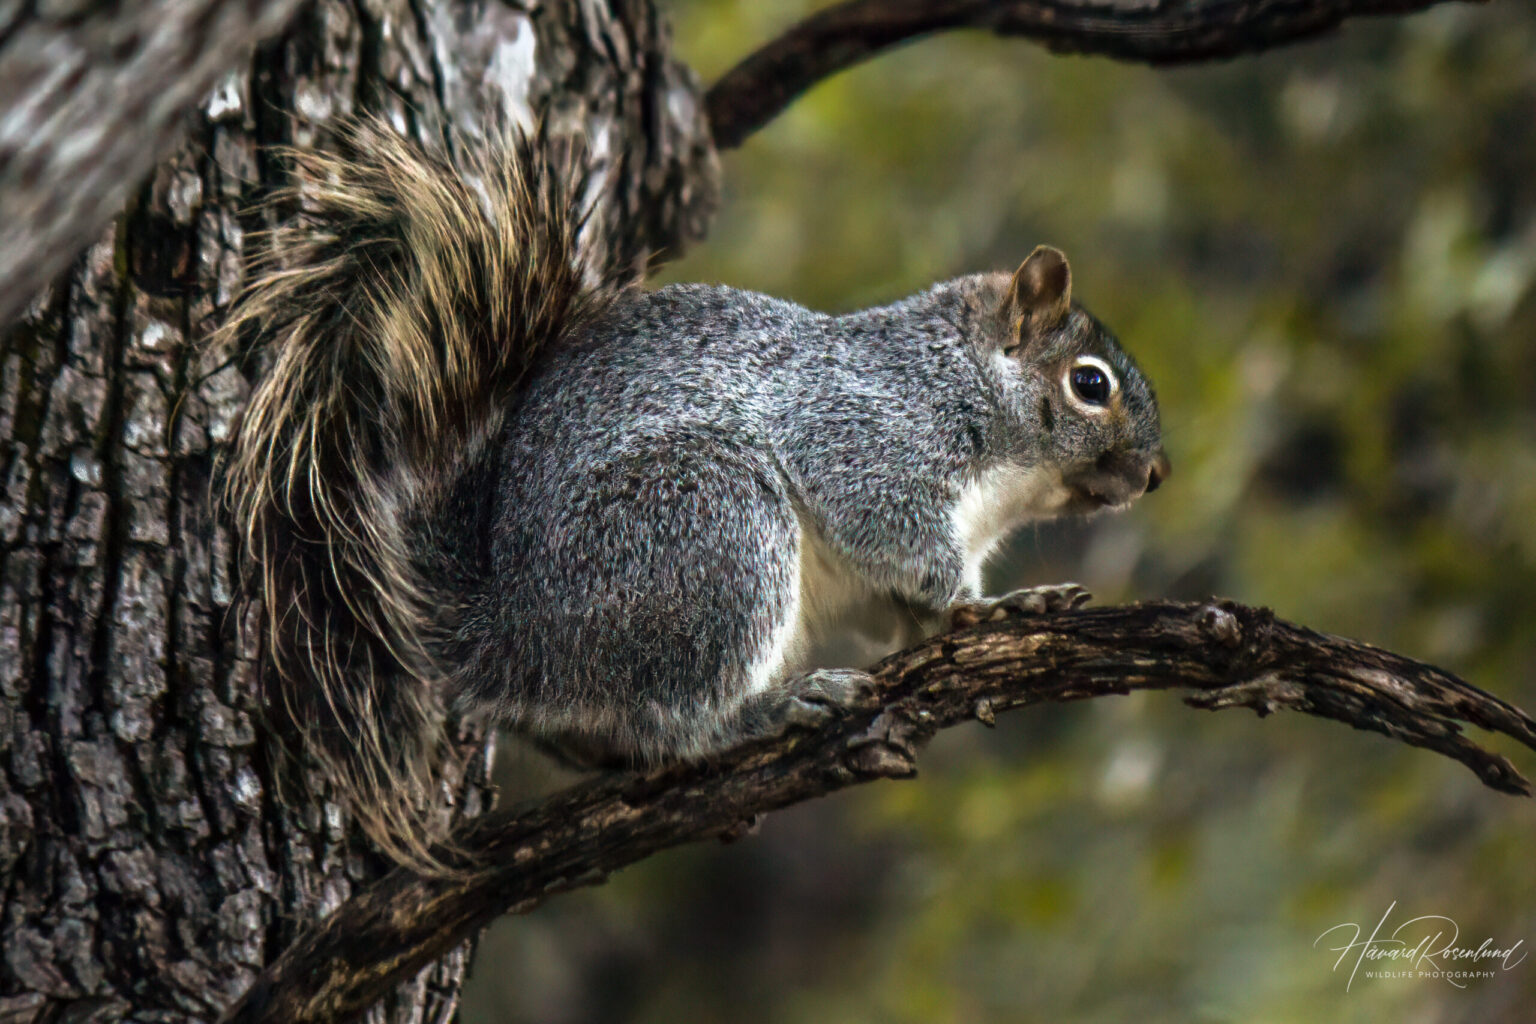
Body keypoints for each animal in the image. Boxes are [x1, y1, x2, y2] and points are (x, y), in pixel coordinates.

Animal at [221, 118, 1168, 865]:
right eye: (1090, 384)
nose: (1157, 473)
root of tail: (514, 626)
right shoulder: (867, 438)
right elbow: (901, 541)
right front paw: (985, 606)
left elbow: (899, 611)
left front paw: (1004, 606)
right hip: (709, 528)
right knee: (673, 725)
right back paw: (771, 708)